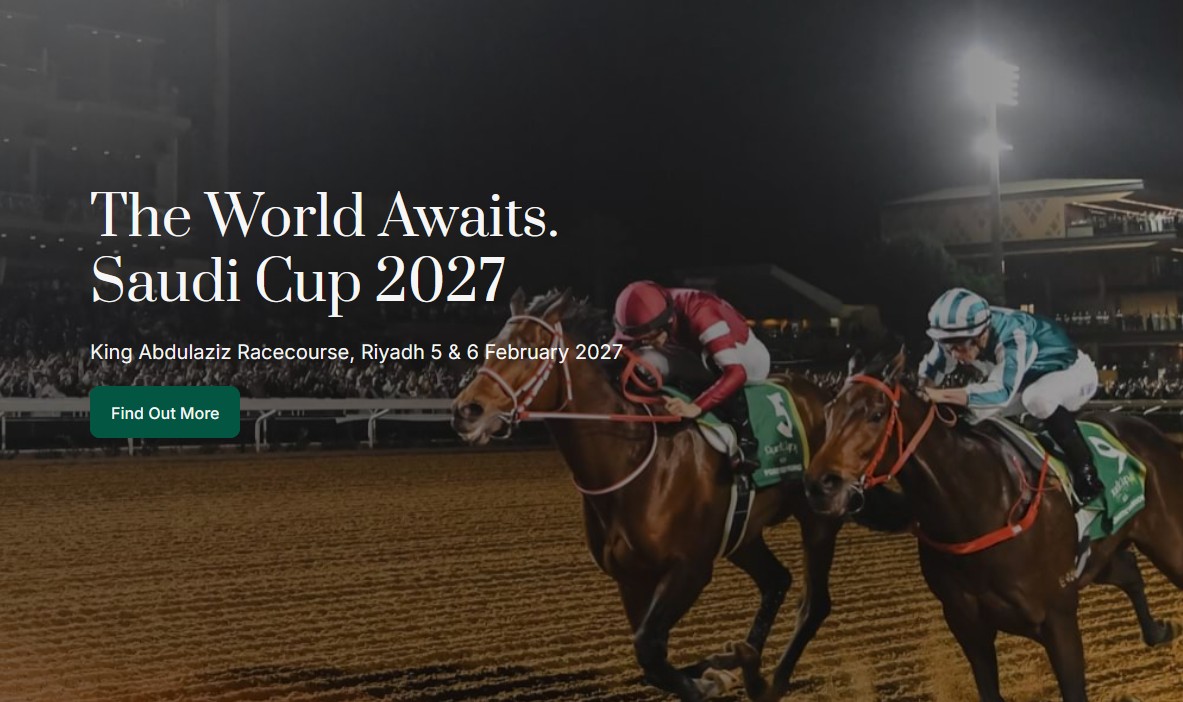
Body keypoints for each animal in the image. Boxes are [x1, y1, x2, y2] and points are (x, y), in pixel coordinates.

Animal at [451, 288, 860, 702]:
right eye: (491, 347)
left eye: (528, 351)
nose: (466, 411)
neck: (631, 460)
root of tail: (824, 393)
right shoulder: (631, 577)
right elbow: (650, 656)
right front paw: (712, 673)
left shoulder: (690, 569)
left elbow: (649, 648)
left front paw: (706, 682)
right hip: (743, 532)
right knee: (776, 581)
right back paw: (741, 663)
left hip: (818, 519)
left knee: (814, 604)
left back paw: (770, 682)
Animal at [803, 346, 1183, 701]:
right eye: (829, 411)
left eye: (876, 414)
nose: (821, 485)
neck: (977, 503)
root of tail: (1154, 434)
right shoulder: (967, 625)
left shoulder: (1058, 617)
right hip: (1096, 556)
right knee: (1128, 568)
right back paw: (1158, 631)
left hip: (1168, 544)